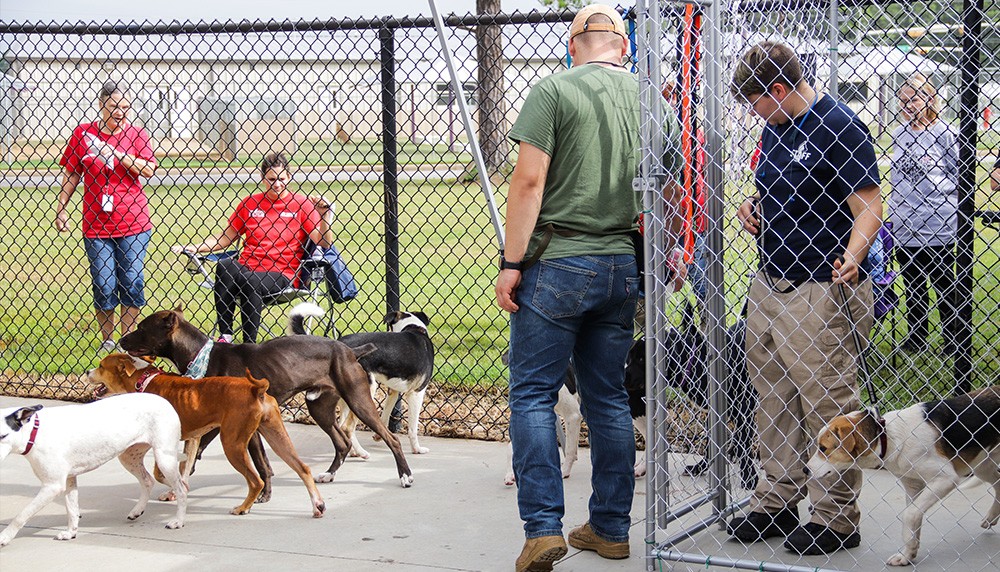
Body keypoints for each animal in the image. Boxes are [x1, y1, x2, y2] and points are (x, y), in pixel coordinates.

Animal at [0, 394, 187, 544]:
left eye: (3, 436)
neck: (35, 431)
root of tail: (164, 401)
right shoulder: (69, 481)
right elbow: (72, 510)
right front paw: (71, 533)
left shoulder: (52, 486)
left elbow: (22, 515)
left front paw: (5, 537)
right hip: (128, 458)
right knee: (147, 481)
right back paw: (137, 510)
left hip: (164, 459)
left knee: (181, 489)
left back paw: (178, 521)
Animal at [89, 354, 324, 520]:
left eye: (101, 366)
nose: (89, 371)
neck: (143, 381)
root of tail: (256, 387)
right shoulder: (193, 439)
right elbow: (184, 468)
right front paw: (176, 490)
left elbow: (160, 473)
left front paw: (175, 489)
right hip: (276, 437)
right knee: (303, 468)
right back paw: (317, 505)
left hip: (232, 444)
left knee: (255, 480)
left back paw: (242, 508)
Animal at [121, 304, 414, 496]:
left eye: (142, 328)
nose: (122, 339)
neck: (202, 356)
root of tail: (351, 351)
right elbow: (207, 453)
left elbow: (259, 463)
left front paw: (263, 496)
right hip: (319, 407)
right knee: (342, 443)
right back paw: (329, 474)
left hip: (358, 401)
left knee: (391, 438)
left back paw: (405, 476)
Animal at [804, 386, 1000, 564]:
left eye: (823, 448)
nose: (805, 470)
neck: (887, 436)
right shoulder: (913, 486)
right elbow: (913, 518)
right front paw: (907, 555)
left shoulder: (945, 479)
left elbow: (909, 515)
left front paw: (909, 548)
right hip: (982, 465)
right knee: (998, 484)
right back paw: (991, 517)